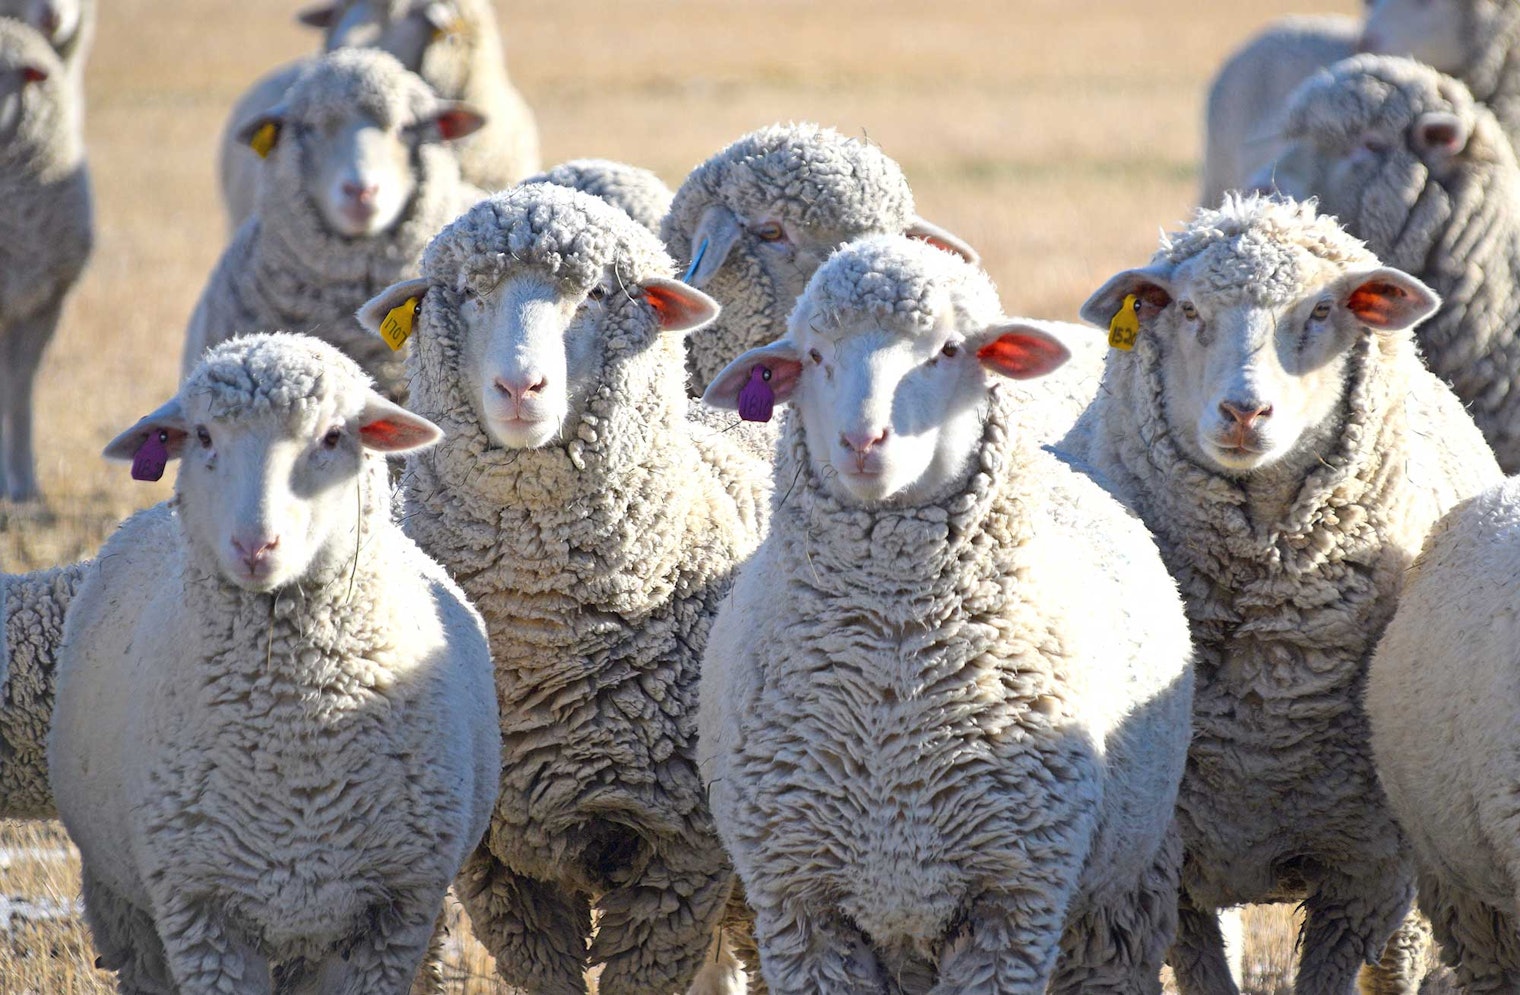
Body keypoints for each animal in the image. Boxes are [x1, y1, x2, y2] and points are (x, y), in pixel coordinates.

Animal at [47, 332, 500, 995]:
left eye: (334, 436)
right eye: (203, 435)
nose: (255, 546)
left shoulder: (392, 916)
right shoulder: (201, 911)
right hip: (125, 906)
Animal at [355, 183, 770, 995]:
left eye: (597, 294)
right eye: (470, 293)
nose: (521, 387)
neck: (540, 632)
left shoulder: (677, 853)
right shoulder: (497, 860)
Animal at [694, 234, 1193, 994]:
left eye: (950, 350)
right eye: (814, 356)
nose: (863, 442)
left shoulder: (1011, 904)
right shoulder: (802, 908)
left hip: (1118, 896)